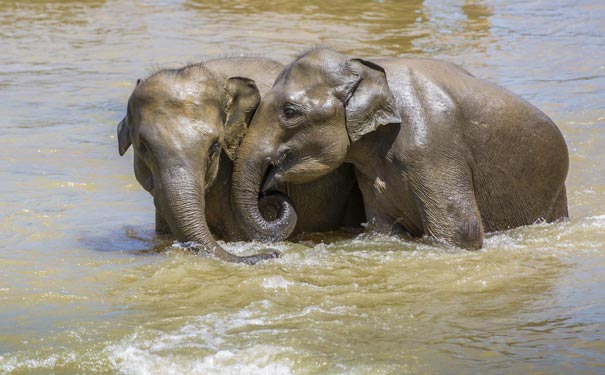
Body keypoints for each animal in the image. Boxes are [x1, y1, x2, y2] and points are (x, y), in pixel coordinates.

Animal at [229, 48, 568, 251]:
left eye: (290, 112)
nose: (270, 196)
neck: (366, 68)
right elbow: (383, 229)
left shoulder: (434, 146)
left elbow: (461, 233)